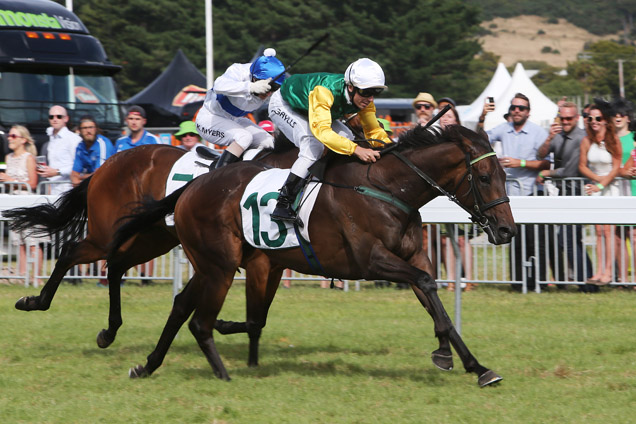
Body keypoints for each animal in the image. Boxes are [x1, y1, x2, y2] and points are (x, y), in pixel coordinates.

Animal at [3, 141, 298, 350]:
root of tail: (105, 165)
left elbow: (259, 315)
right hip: (107, 235)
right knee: (70, 253)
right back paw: (35, 301)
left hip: (152, 238)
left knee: (115, 266)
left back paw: (109, 330)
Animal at [110, 124, 516, 386]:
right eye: (483, 178)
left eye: (504, 175)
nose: (507, 230)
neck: (385, 188)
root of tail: (192, 186)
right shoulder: (371, 261)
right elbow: (428, 285)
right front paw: (450, 354)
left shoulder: (413, 258)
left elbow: (433, 297)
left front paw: (472, 364)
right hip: (220, 265)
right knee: (198, 320)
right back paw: (221, 373)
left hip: (209, 265)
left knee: (181, 306)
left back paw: (147, 366)